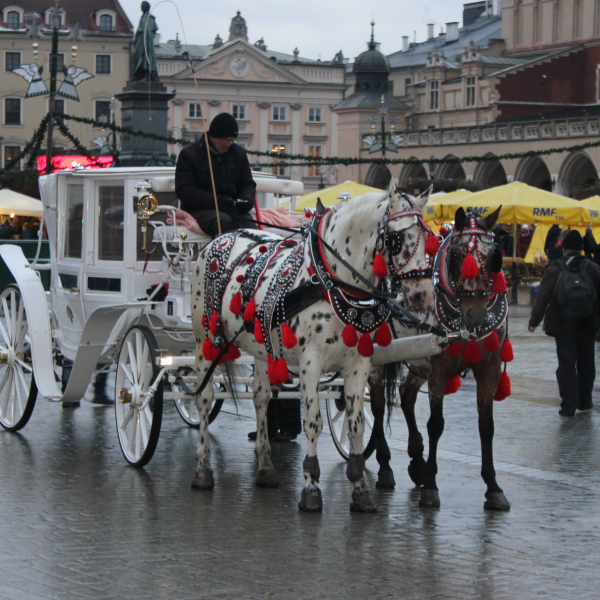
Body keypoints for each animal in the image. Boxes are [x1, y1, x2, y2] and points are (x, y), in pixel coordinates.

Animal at [190, 180, 434, 512]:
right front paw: (311, 487)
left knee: (261, 398)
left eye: (429, 238)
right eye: (397, 239)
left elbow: (356, 424)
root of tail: (219, 238)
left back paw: (265, 465)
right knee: (204, 398)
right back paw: (203, 468)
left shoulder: (359, 364)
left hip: (261, 348)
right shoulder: (311, 364)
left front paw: (360, 488)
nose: (423, 295)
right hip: (205, 341)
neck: (331, 280)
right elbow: (313, 423)